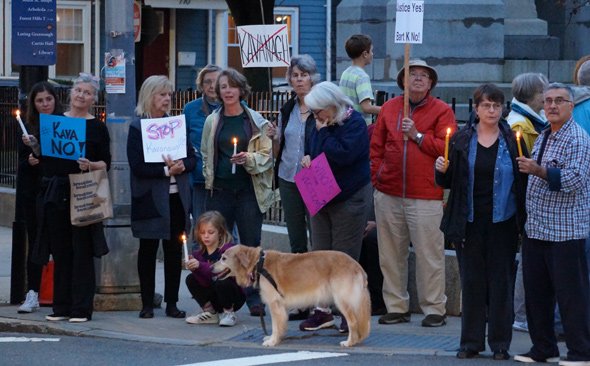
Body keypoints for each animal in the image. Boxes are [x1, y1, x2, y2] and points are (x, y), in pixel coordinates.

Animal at [212, 244, 370, 348]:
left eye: (223, 258)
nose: (210, 267)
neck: (258, 264)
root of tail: (357, 266)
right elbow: (279, 325)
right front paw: (275, 338)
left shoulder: (274, 303)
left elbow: (276, 325)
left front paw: (272, 341)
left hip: (342, 299)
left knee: (353, 322)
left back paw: (349, 342)